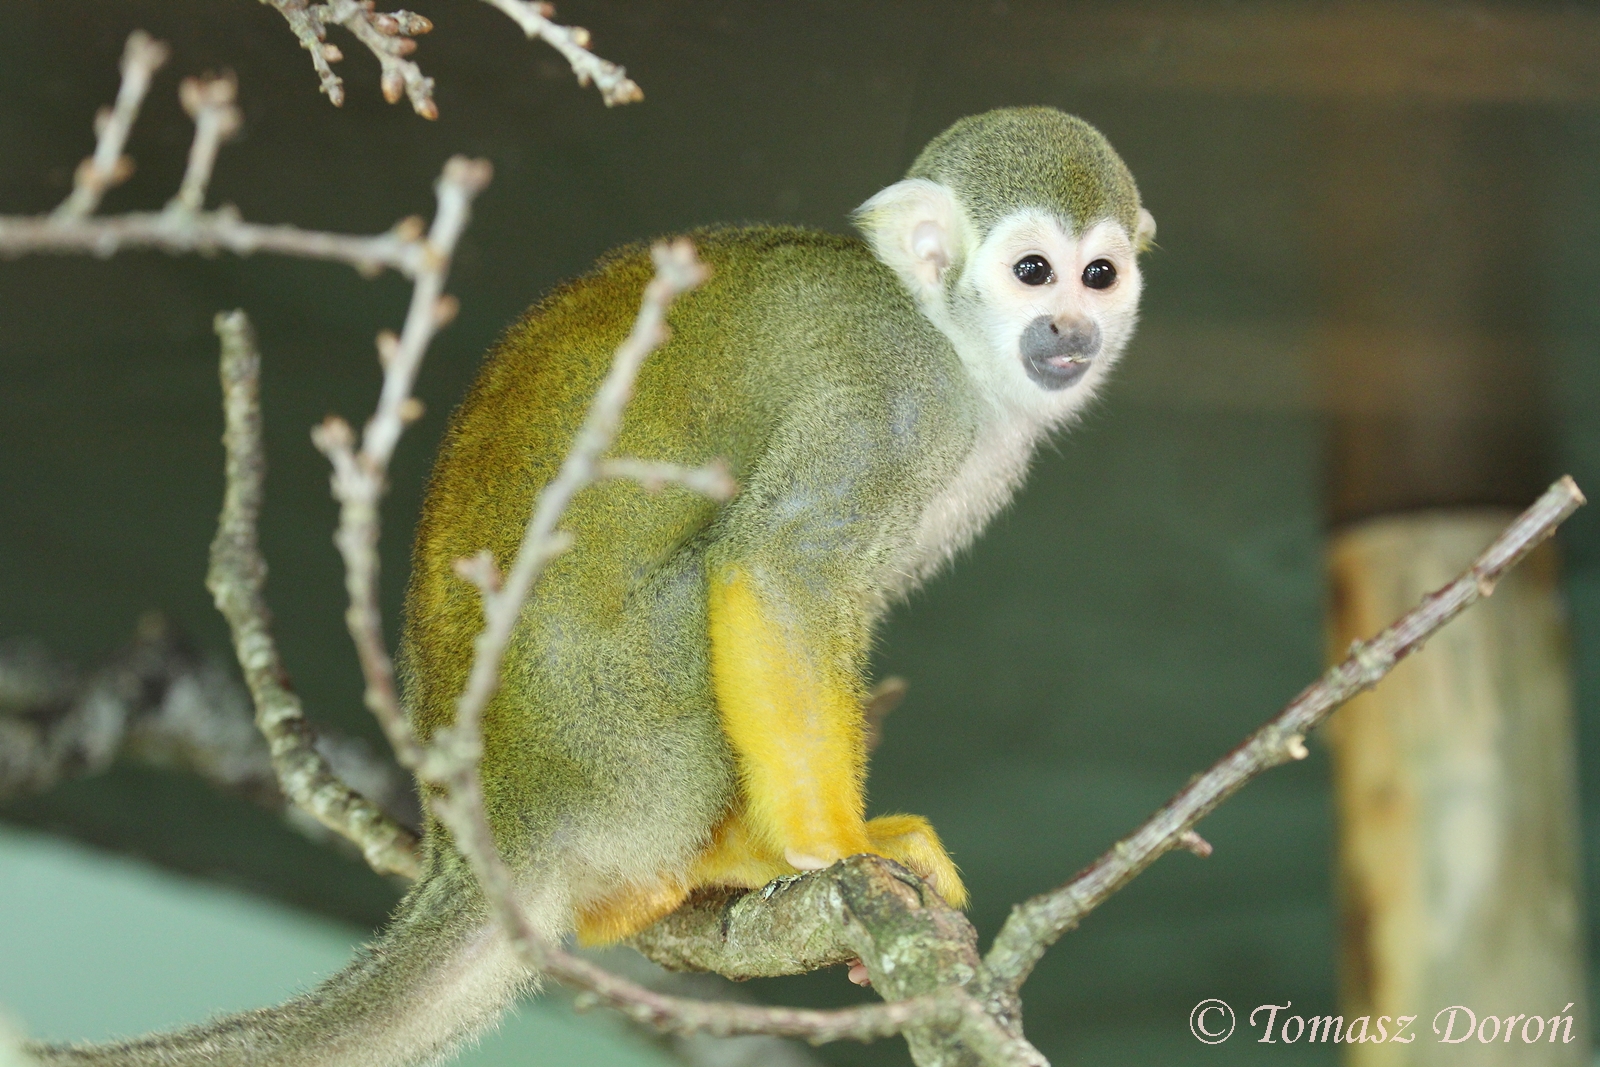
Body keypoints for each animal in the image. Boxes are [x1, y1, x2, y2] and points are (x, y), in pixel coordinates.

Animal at [32, 106, 1154, 1067]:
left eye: (1097, 275)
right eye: (1032, 271)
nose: (1070, 328)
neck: (948, 336)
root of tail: (486, 833)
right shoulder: (897, 400)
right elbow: (780, 568)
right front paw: (832, 848)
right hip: (620, 741)